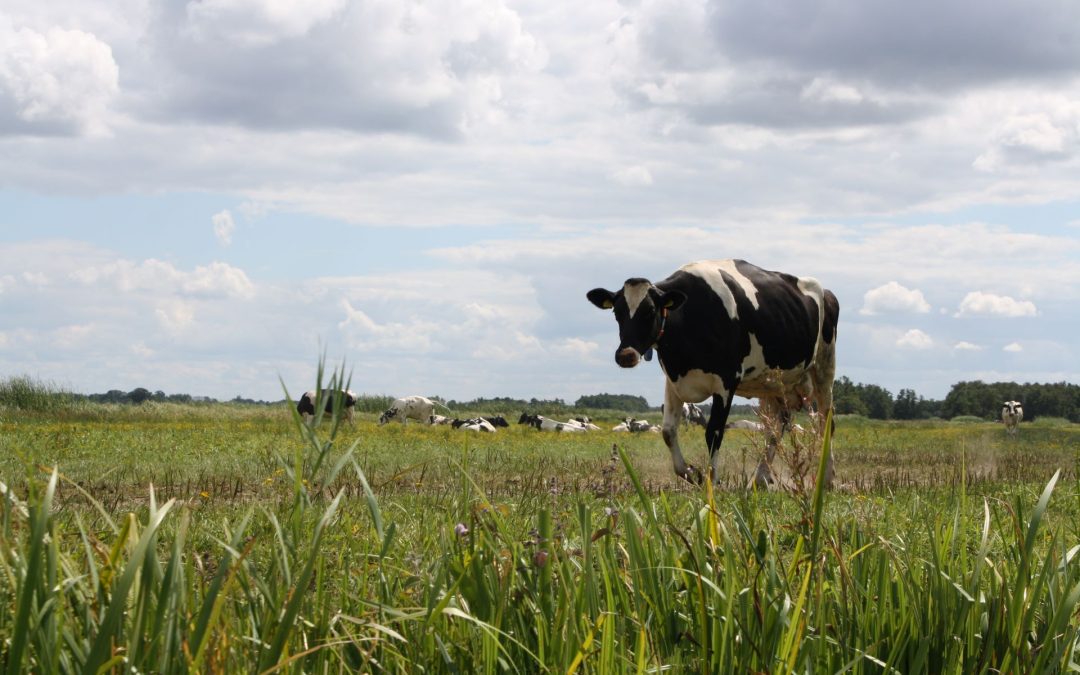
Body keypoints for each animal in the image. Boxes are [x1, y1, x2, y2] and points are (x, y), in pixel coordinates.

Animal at [587, 257, 838, 483]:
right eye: (617, 312)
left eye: (649, 310)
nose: (625, 355)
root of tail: (826, 292)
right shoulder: (673, 382)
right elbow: (668, 431)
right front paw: (691, 473)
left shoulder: (726, 382)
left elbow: (714, 433)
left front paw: (711, 482)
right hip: (772, 384)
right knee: (776, 429)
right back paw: (760, 479)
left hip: (824, 369)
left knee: (825, 422)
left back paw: (828, 480)